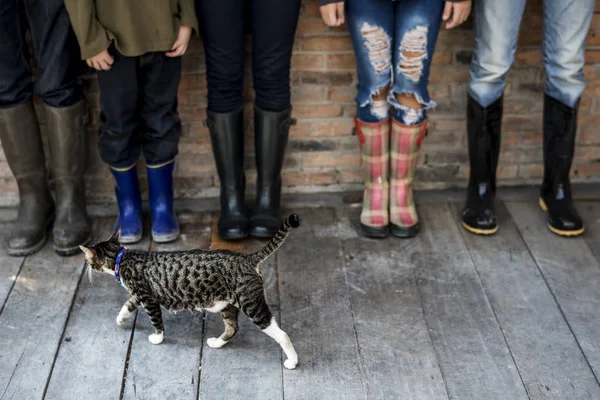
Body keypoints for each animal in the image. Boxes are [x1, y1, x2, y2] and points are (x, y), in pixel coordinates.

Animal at [81, 212, 300, 368]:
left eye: (88, 260)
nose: (86, 265)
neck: (122, 258)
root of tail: (247, 258)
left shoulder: (148, 298)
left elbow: (156, 321)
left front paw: (157, 338)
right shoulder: (141, 295)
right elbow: (127, 304)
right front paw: (121, 319)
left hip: (251, 304)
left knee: (281, 334)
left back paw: (292, 361)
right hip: (227, 305)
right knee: (232, 328)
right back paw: (217, 343)